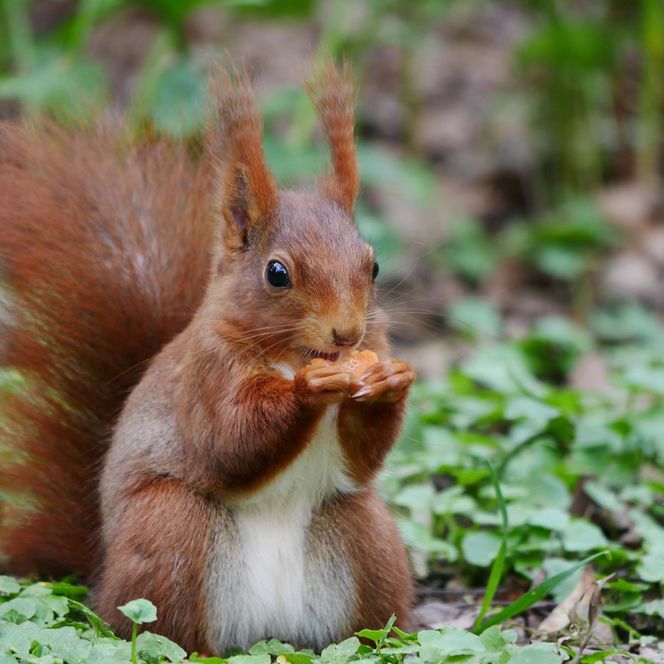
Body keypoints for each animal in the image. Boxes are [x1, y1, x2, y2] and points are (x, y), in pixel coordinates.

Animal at [0, 61, 415, 654]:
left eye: (374, 265)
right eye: (276, 273)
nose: (347, 332)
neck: (293, 354)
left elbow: (364, 456)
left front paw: (393, 381)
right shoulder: (205, 376)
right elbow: (228, 440)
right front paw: (307, 390)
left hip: (367, 540)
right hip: (171, 531)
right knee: (167, 631)